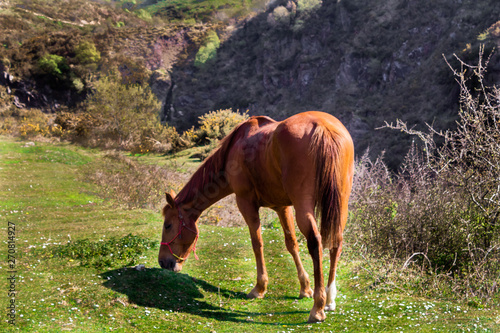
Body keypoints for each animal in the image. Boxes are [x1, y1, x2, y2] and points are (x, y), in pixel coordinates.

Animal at [158, 111, 354, 322]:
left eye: (168, 225)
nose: (163, 262)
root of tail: (323, 127)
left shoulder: (246, 203)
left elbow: (257, 243)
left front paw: (260, 288)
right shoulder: (282, 206)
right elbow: (291, 243)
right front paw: (305, 288)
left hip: (304, 205)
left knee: (315, 242)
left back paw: (318, 307)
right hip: (340, 205)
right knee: (336, 243)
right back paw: (330, 300)